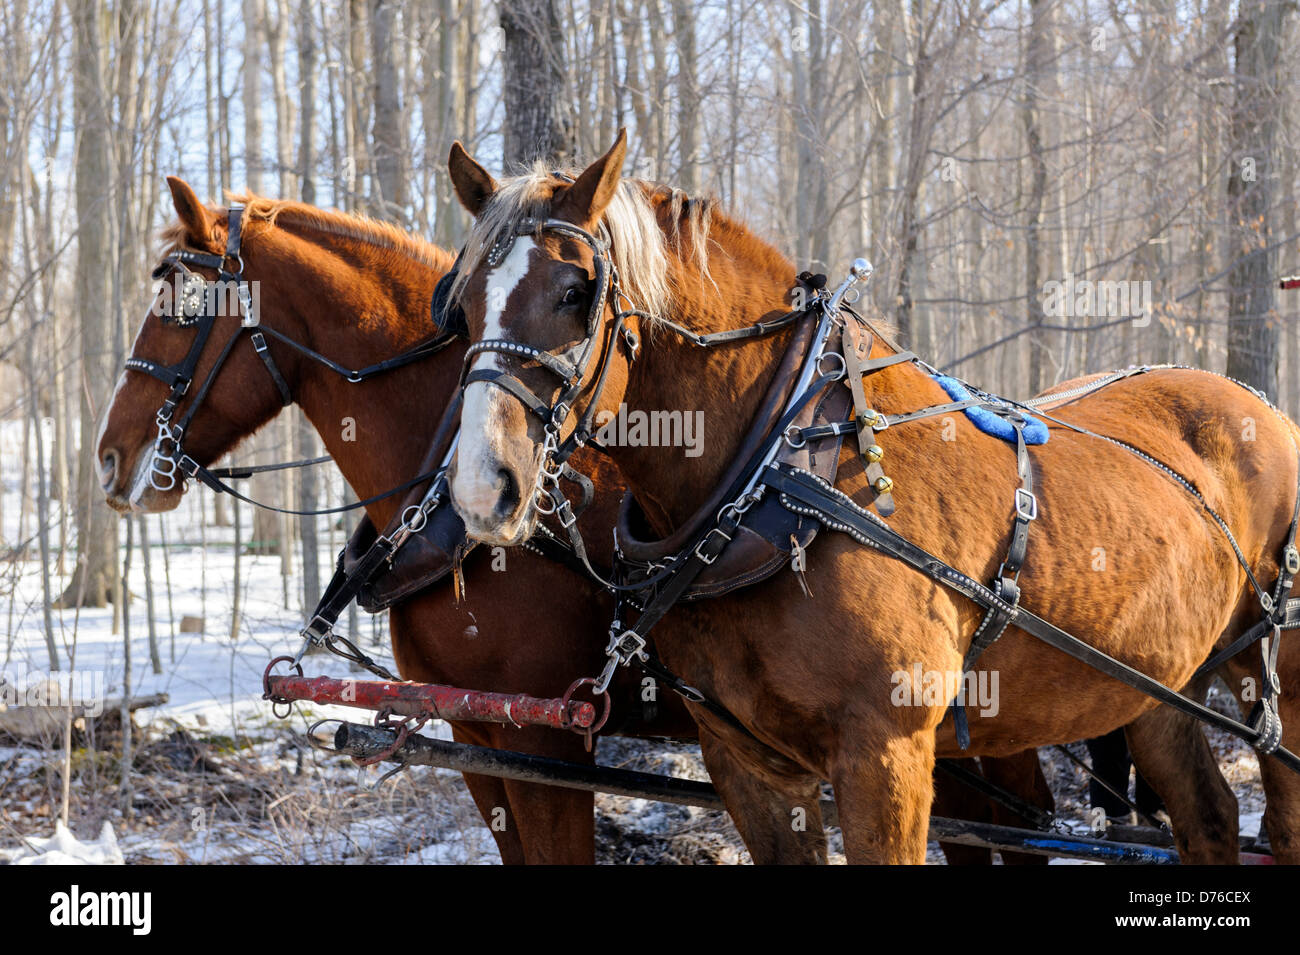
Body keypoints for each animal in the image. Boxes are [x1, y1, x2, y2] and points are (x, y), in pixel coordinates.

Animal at [443, 130, 1300, 864]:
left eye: (576, 290)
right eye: (459, 305)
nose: (484, 486)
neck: (782, 479)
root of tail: (1265, 408)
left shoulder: (885, 752)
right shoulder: (749, 764)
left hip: (1276, 672)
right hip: (1158, 688)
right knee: (1210, 817)